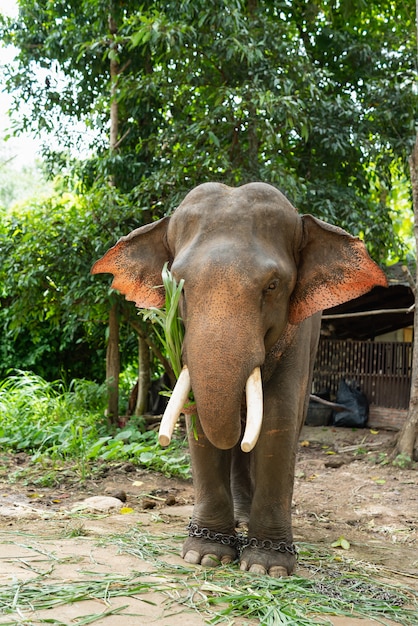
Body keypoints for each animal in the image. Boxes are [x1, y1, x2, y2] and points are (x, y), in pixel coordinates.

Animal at [93, 180, 386, 576]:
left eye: (273, 285)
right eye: (178, 284)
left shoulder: (297, 335)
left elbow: (278, 418)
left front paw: (267, 566)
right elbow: (199, 421)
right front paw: (206, 555)